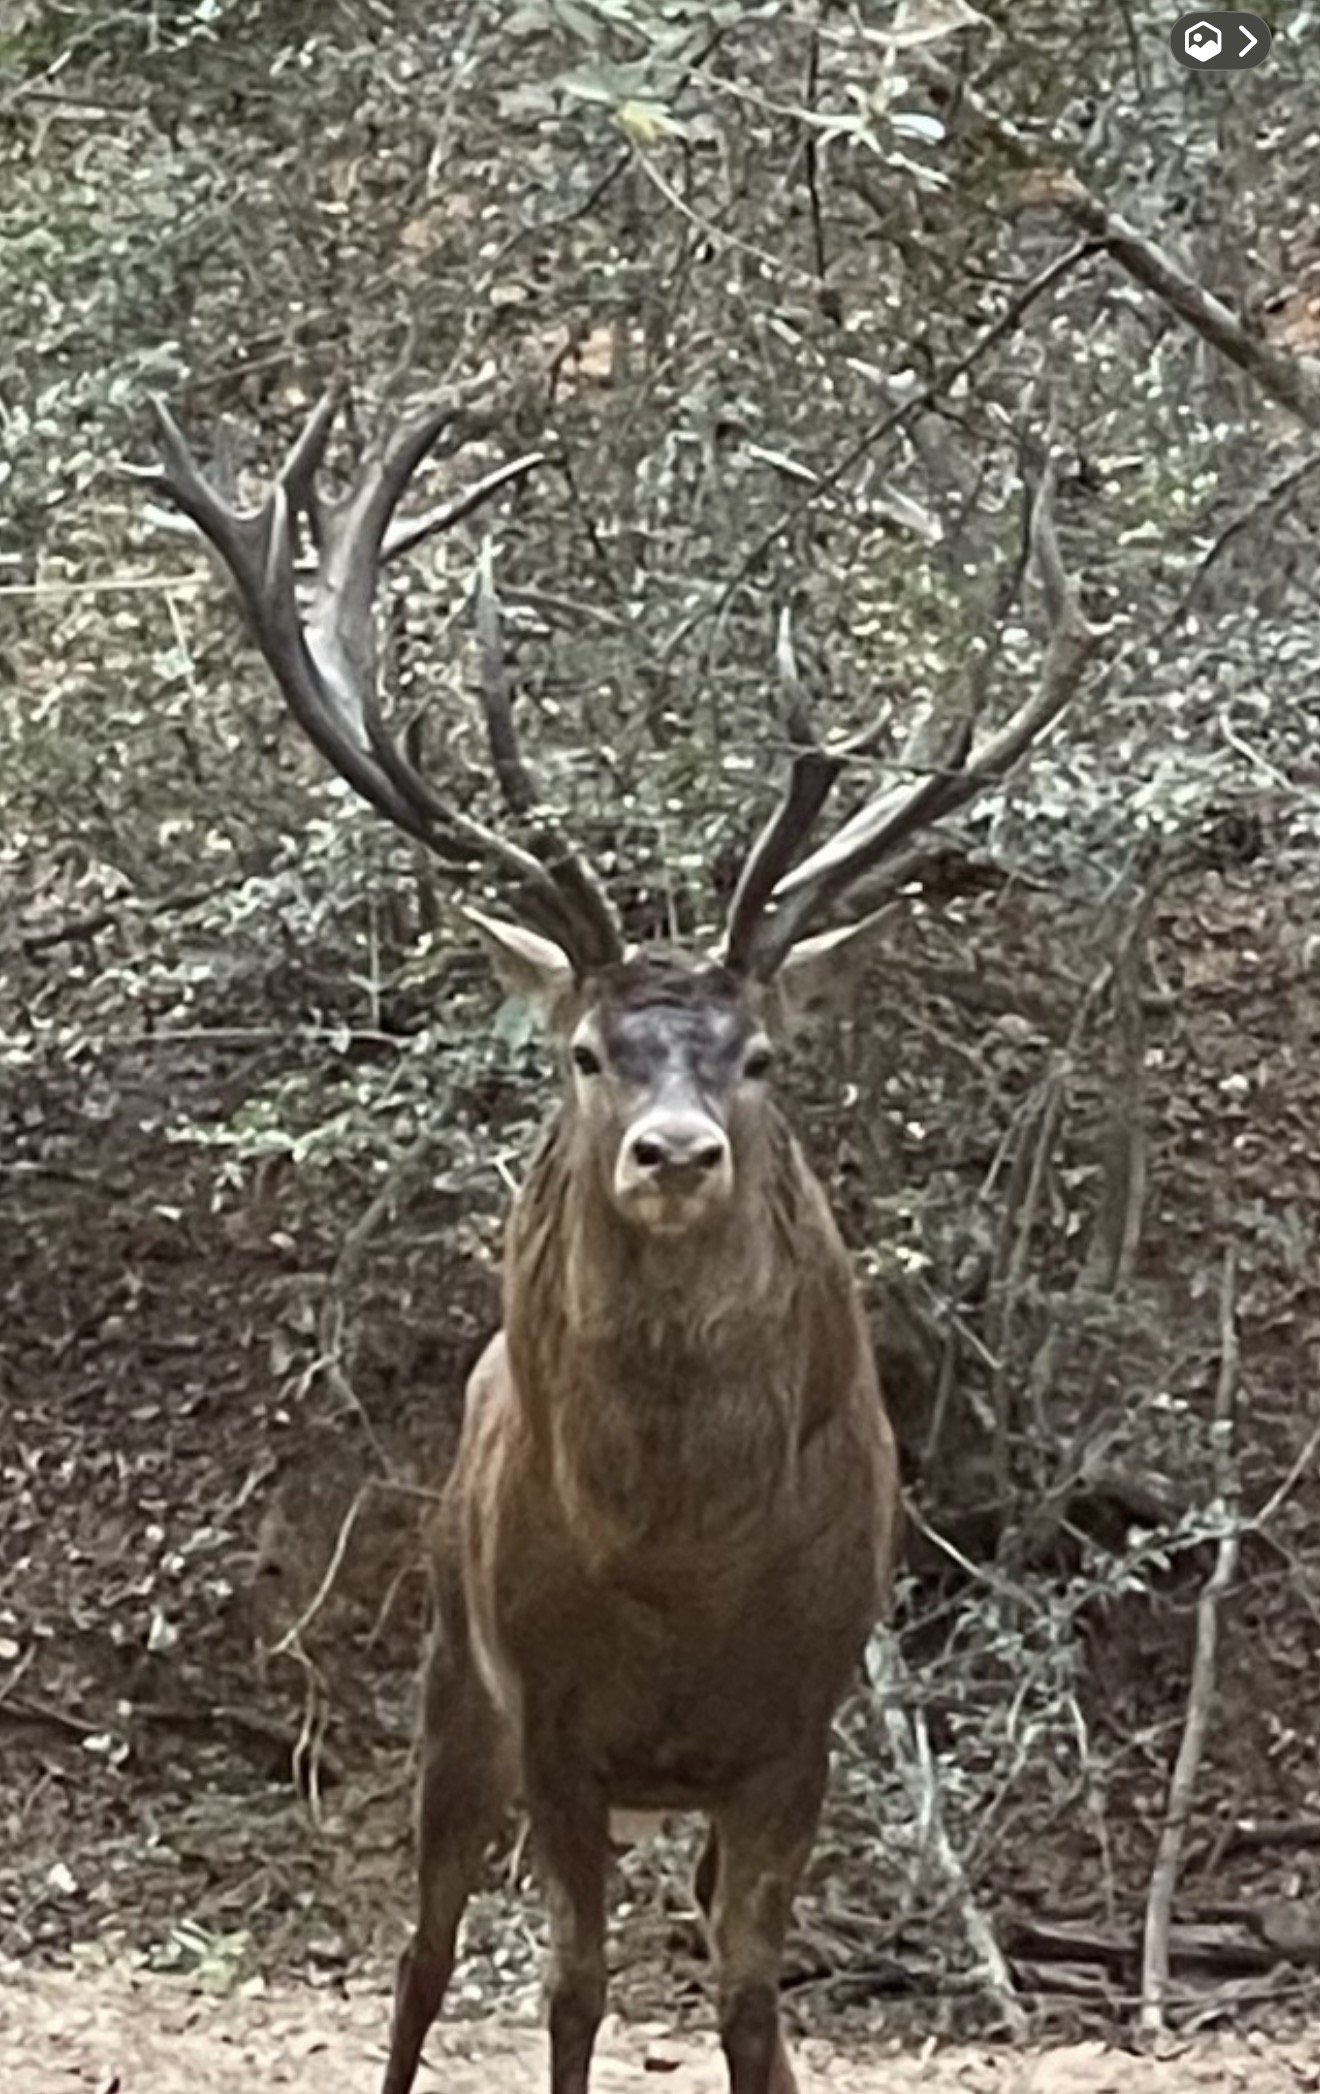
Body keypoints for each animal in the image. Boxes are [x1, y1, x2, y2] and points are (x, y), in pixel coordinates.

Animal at [146, 389, 1095, 2094]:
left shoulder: (799, 1721)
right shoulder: (552, 1711)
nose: (676, 1151)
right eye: (591, 1051)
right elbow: (571, 1986)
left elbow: (753, 2001)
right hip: (450, 1675)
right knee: (422, 1952)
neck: (680, 1568)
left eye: (760, 1052)